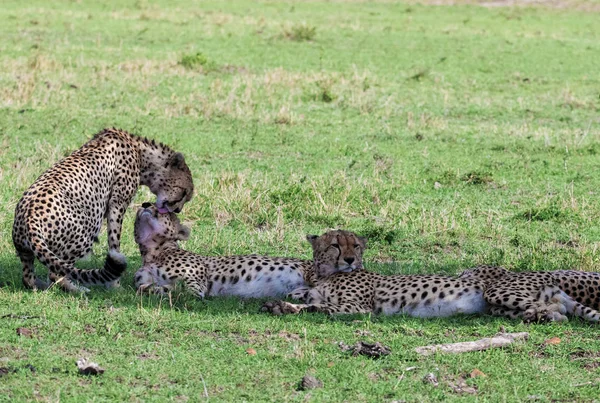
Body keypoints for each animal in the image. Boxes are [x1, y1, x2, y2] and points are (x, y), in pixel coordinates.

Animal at [12, 129, 192, 294]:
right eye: (184, 193)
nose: (178, 209)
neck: (141, 153)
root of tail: (28, 217)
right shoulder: (117, 204)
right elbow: (114, 241)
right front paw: (115, 286)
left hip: (25, 251)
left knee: (28, 278)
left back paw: (41, 286)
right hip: (85, 233)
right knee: (56, 274)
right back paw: (79, 289)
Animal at [133, 207, 364, 298]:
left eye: (162, 209)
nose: (145, 204)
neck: (153, 252)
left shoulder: (197, 285)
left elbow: (182, 290)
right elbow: (147, 286)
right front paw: (151, 288)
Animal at [262, 230, 488, 318]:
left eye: (355, 246)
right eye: (335, 245)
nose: (350, 260)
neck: (326, 275)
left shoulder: (359, 307)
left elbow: (320, 307)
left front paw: (285, 307)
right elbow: (306, 297)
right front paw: (284, 304)